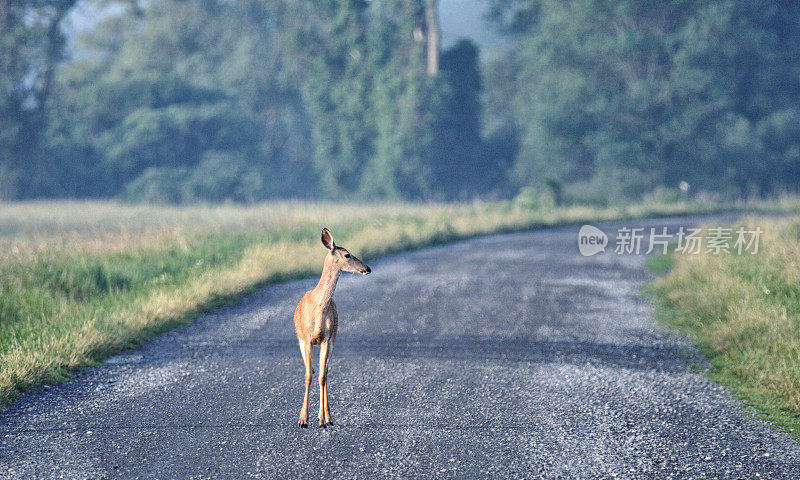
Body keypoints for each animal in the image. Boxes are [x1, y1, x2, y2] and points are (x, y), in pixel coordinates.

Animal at [292, 228, 370, 428]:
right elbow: (308, 376)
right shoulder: (306, 339)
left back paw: (328, 417)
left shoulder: (326, 338)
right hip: (301, 341)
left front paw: (321, 419)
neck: (319, 307)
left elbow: (321, 377)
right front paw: (303, 419)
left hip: (334, 338)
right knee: (313, 370)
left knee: (325, 372)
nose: (367, 268)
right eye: (347, 254)